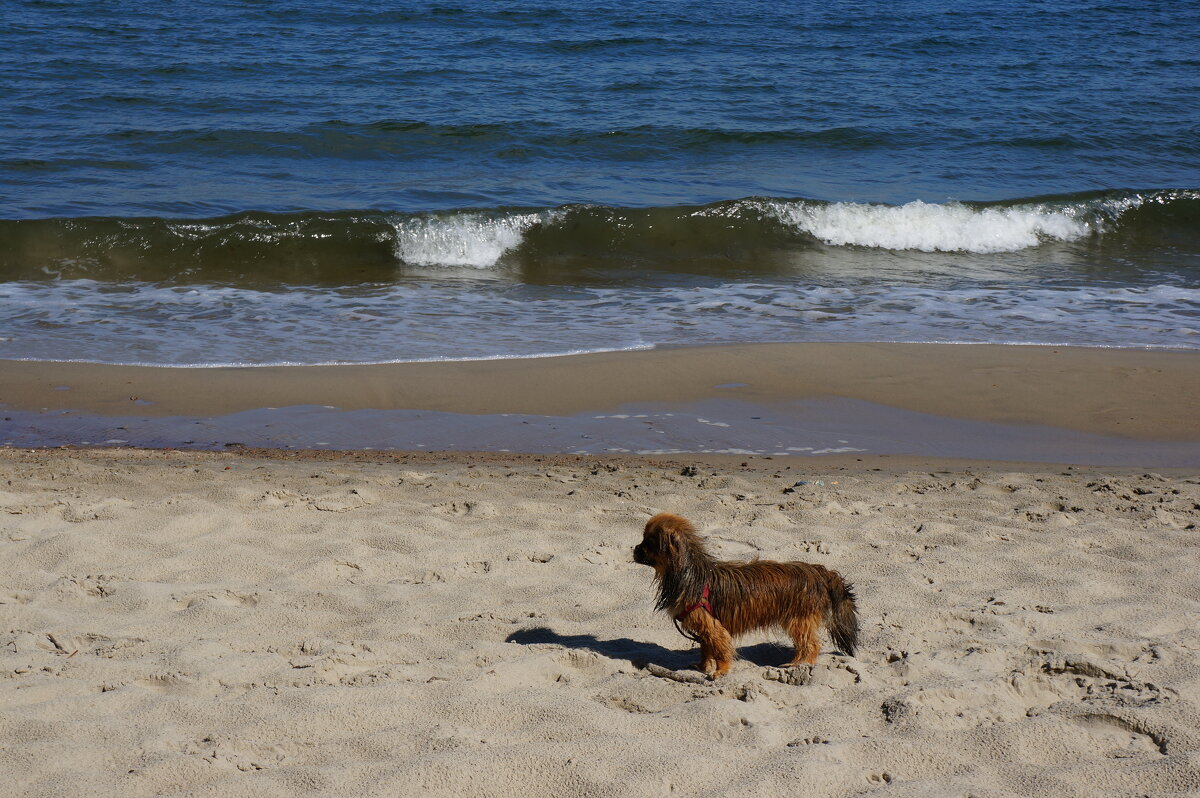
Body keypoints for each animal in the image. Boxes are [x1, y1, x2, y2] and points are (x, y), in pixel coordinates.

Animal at [633, 513, 859, 676]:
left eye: (647, 543)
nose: (634, 548)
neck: (689, 574)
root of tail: (819, 572)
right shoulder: (705, 628)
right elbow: (706, 649)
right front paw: (702, 666)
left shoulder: (714, 627)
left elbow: (721, 649)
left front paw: (721, 671)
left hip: (798, 620)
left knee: (811, 645)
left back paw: (799, 664)